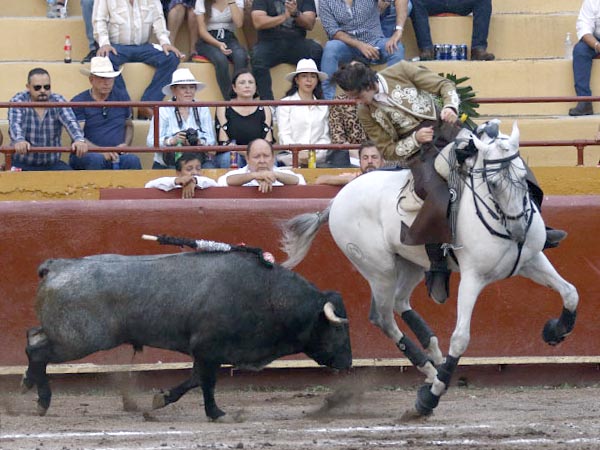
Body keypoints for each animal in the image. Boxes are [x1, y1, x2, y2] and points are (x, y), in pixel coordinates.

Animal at [23, 250, 352, 418]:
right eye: (337, 329)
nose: (348, 364)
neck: (268, 295)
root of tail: (57, 266)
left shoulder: (205, 353)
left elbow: (194, 379)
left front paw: (162, 398)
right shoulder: (209, 348)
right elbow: (207, 382)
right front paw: (216, 412)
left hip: (63, 335)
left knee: (32, 338)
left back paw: (28, 385)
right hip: (77, 341)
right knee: (38, 351)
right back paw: (42, 401)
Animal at [278, 122, 580, 414]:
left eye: (522, 175)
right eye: (493, 183)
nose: (518, 231)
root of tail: (337, 200)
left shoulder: (532, 260)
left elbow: (570, 293)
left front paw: (555, 331)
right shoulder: (473, 278)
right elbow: (460, 338)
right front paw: (428, 399)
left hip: (411, 263)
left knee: (400, 302)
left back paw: (433, 354)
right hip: (379, 269)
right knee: (383, 316)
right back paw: (431, 371)